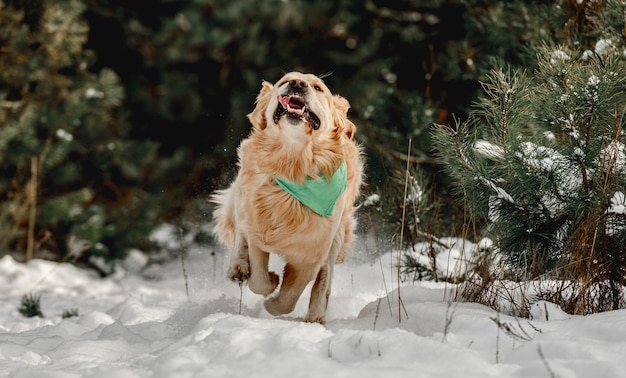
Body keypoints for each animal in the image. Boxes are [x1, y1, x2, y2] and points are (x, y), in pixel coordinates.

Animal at [210, 72, 360, 324]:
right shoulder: (258, 228)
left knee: (324, 281)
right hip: (242, 200)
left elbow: (290, 295)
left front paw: (273, 305)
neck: (293, 162)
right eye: (284, 81)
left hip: (337, 237)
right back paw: (238, 269)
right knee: (240, 235)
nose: (297, 84)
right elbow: (259, 279)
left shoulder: (312, 254)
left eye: (318, 88)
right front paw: (270, 282)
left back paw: (315, 316)